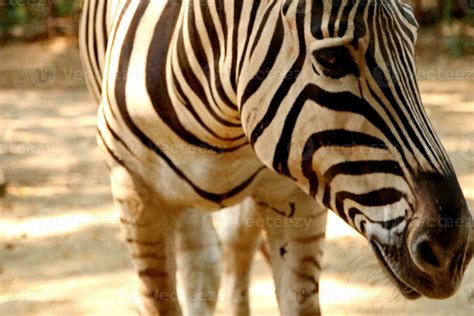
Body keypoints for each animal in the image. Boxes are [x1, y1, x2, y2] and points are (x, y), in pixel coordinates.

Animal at [79, 0, 472, 316]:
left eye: (413, 42)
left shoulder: (294, 196)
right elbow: (160, 300)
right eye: (331, 58)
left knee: (231, 250)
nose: (452, 249)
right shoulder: (136, 190)